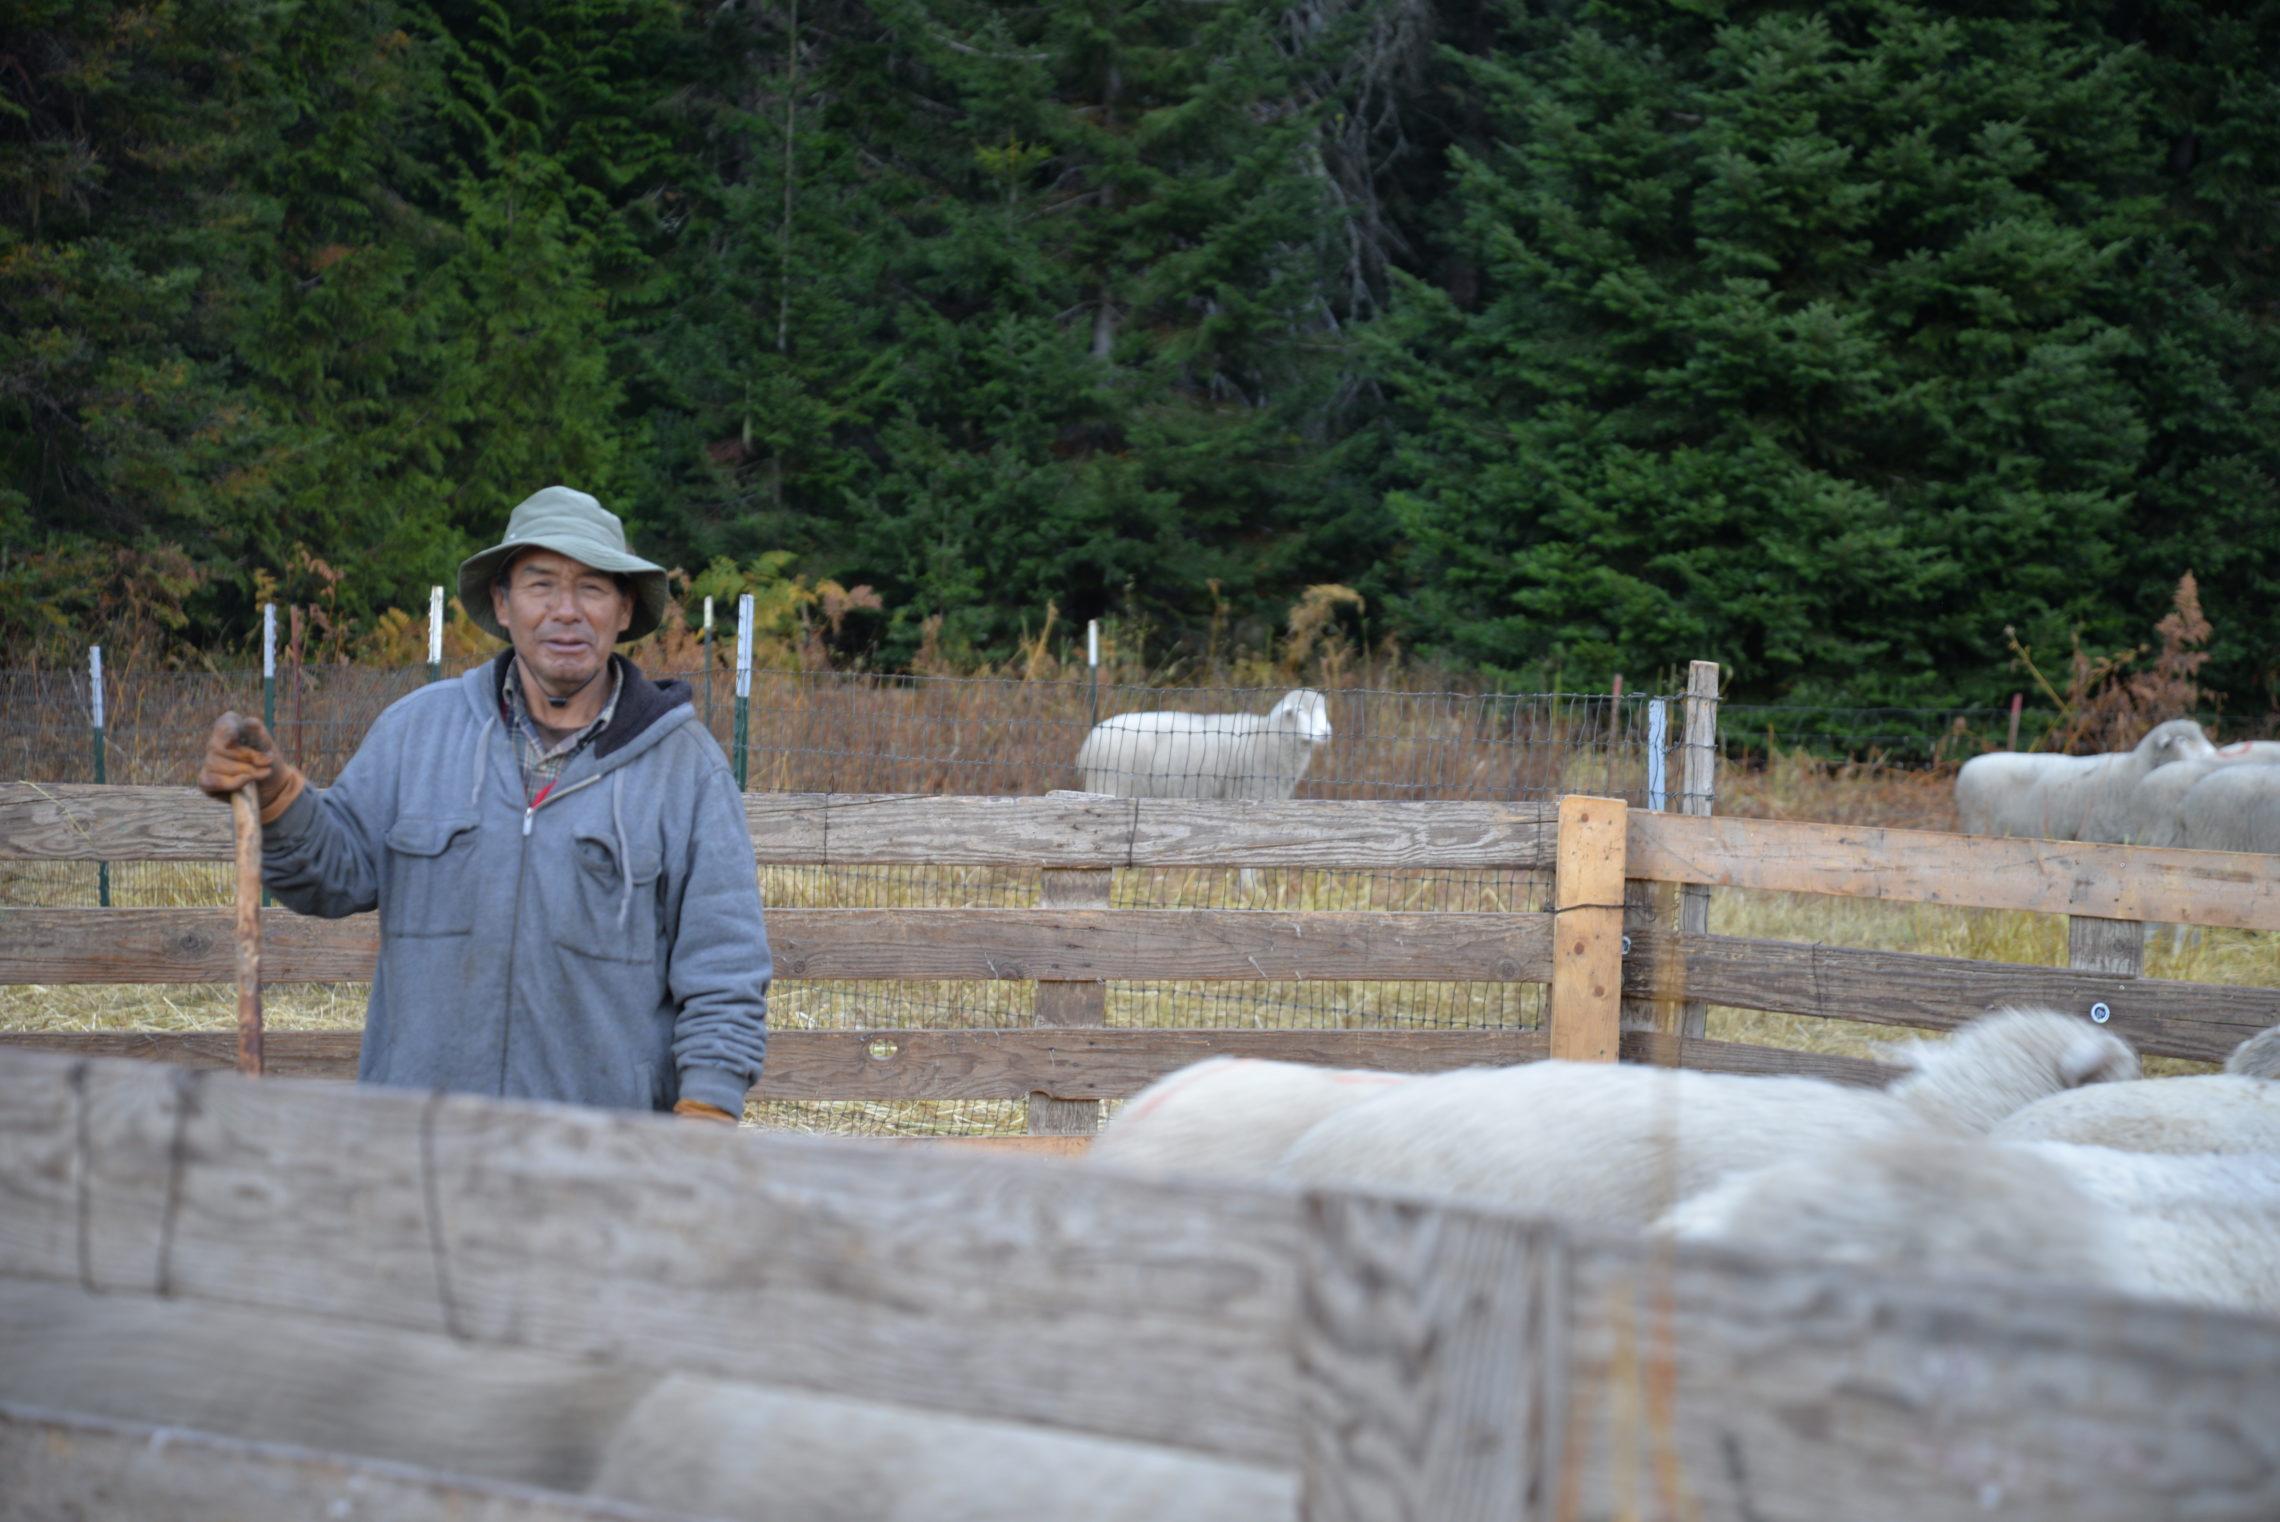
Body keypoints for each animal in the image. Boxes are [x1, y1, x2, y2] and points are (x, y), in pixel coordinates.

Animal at [1071, 688, 1331, 802]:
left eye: (1323, 710)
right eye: (1299, 711)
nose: (1326, 732)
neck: (1269, 736)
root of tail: (1091, 740)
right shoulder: (1247, 792)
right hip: (1111, 784)